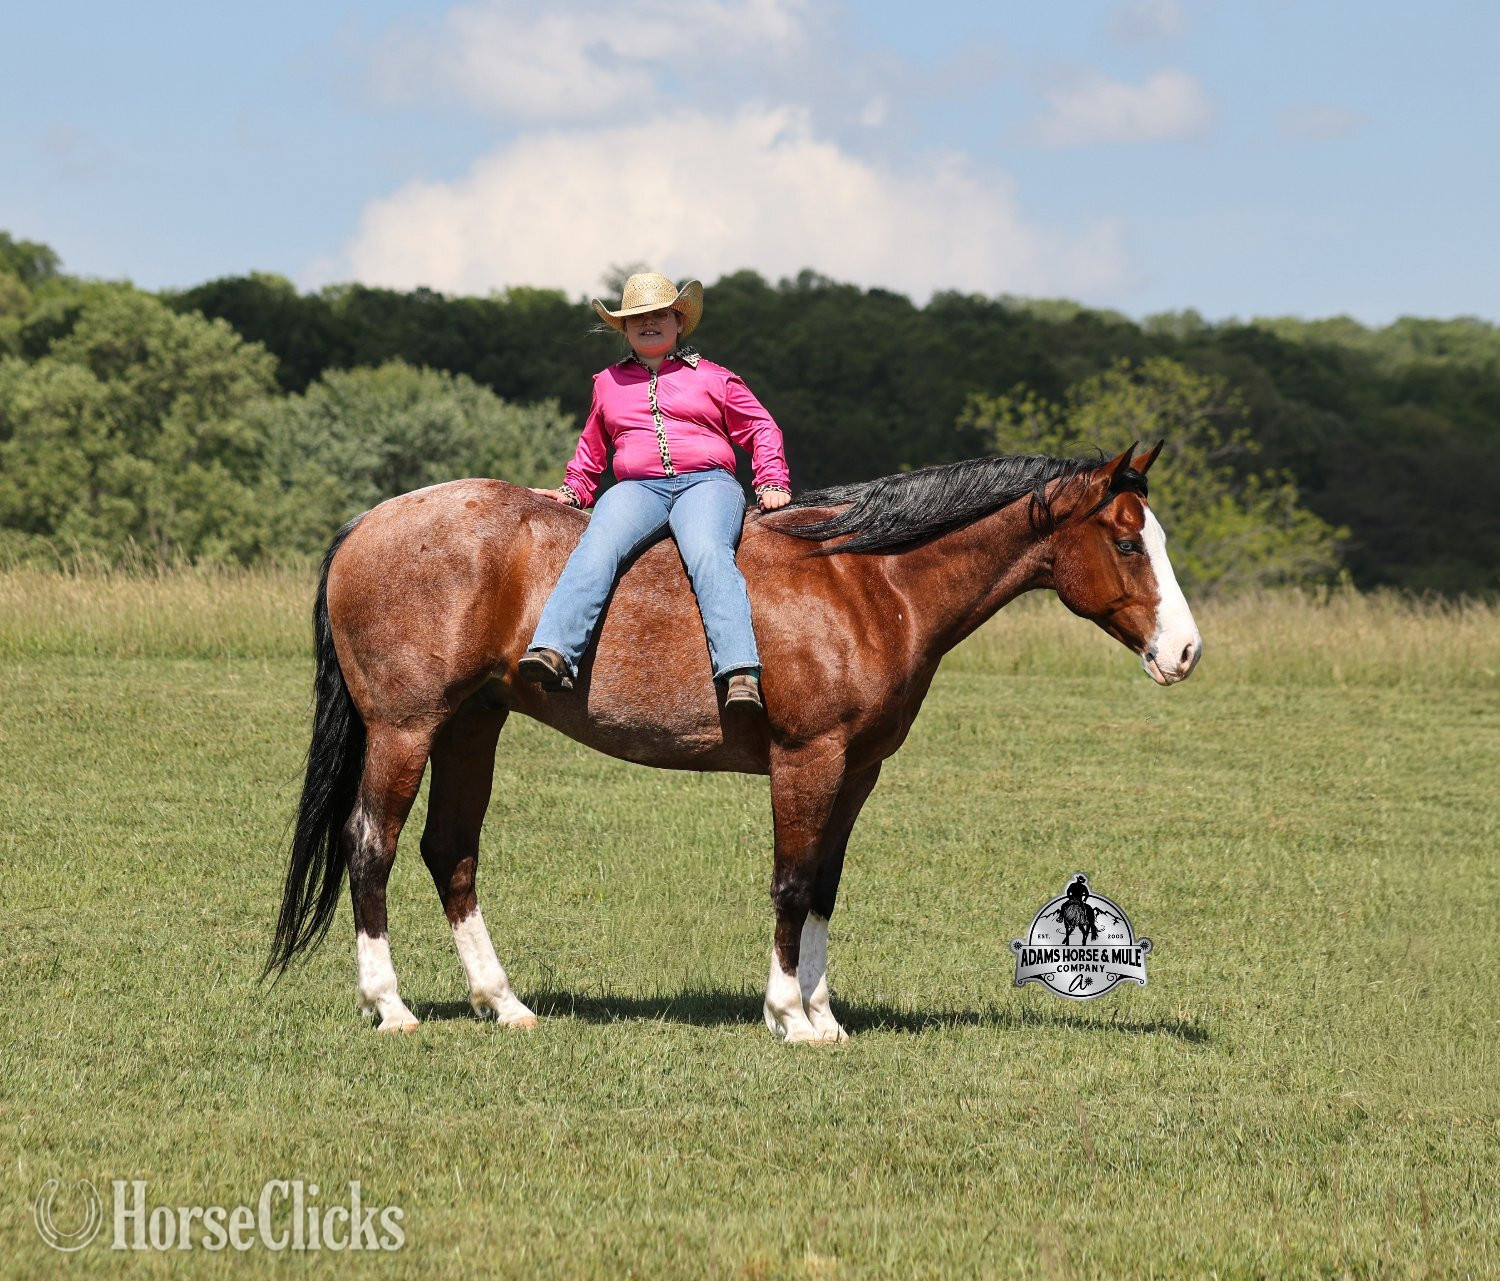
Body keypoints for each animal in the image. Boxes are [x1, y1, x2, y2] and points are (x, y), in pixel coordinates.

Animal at [264, 443, 1201, 1043]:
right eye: (1127, 539)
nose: (1186, 652)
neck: (867, 580)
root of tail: (366, 524)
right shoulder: (806, 758)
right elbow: (789, 882)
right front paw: (789, 1015)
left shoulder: (856, 771)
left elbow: (823, 887)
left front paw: (824, 1015)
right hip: (406, 730)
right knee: (371, 846)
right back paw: (390, 1005)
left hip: (470, 726)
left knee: (450, 852)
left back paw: (506, 1003)